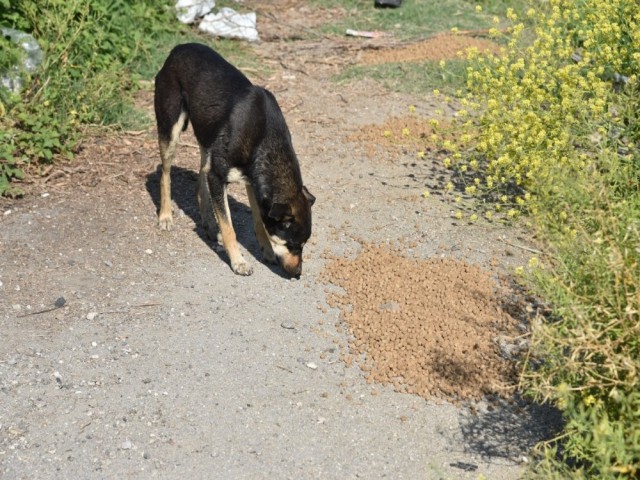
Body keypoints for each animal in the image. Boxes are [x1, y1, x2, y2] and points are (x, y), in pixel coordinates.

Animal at [155, 45, 316, 280]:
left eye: (303, 245)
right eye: (292, 244)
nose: (297, 274)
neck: (264, 138)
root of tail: (178, 49)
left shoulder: (252, 182)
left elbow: (259, 221)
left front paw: (266, 250)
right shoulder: (218, 176)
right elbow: (229, 227)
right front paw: (238, 261)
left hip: (207, 139)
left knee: (200, 179)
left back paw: (209, 225)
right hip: (171, 130)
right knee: (165, 174)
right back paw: (166, 216)